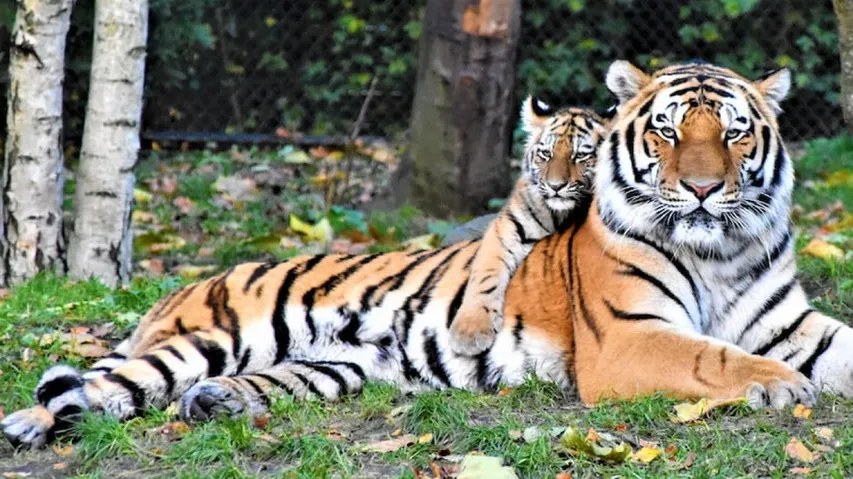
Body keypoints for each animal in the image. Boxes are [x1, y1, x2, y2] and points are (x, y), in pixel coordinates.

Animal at [448, 96, 607, 356]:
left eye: (580, 156)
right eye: (546, 153)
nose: (555, 186)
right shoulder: (506, 229)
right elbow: (485, 275)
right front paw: (469, 332)